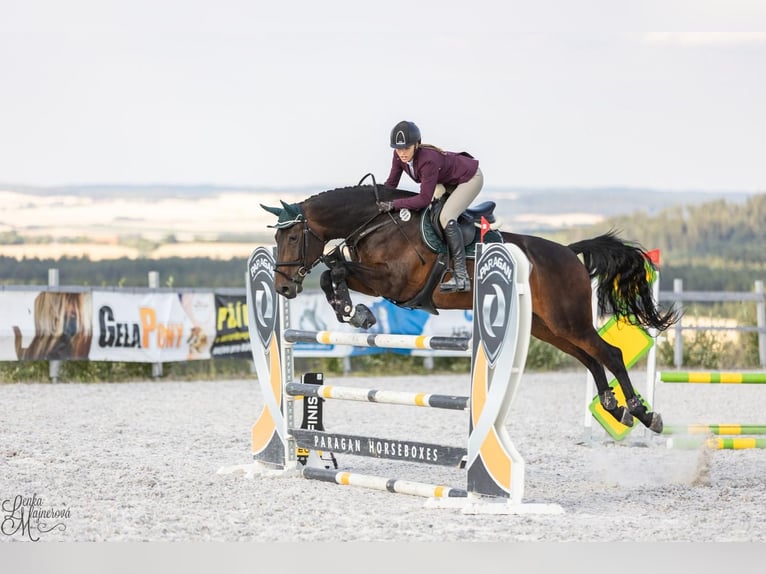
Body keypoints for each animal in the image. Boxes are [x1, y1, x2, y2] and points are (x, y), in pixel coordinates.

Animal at [261, 183, 679, 434]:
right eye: (278, 239)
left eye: (294, 237)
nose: (282, 286)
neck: (375, 223)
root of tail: (568, 251)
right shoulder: (378, 281)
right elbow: (333, 273)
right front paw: (352, 311)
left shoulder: (395, 282)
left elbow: (337, 269)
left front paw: (356, 312)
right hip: (548, 327)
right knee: (591, 358)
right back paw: (615, 406)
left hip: (568, 320)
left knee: (610, 352)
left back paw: (642, 412)